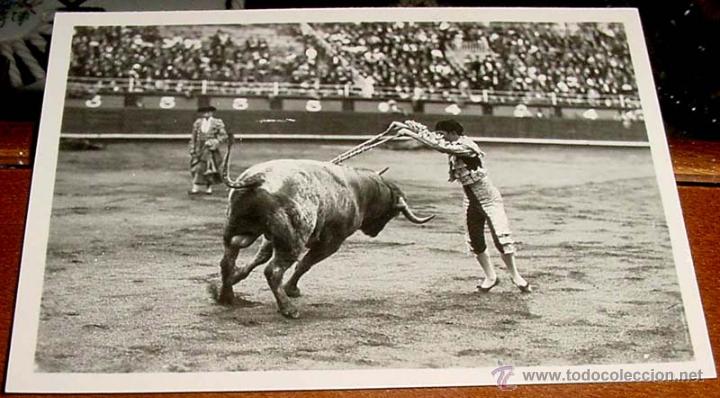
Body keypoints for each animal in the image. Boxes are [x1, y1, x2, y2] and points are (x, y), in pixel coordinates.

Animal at [215, 138, 434, 318]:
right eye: (392, 213)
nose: (374, 232)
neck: (359, 190)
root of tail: (260, 178)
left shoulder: (271, 238)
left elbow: (259, 258)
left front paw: (237, 277)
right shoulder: (331, 242)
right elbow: (305, 264)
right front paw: (291, 289)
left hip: (237, 228)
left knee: (228, 258)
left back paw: (226, 296)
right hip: (293, 241)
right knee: (273, 270)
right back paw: (288, 309)